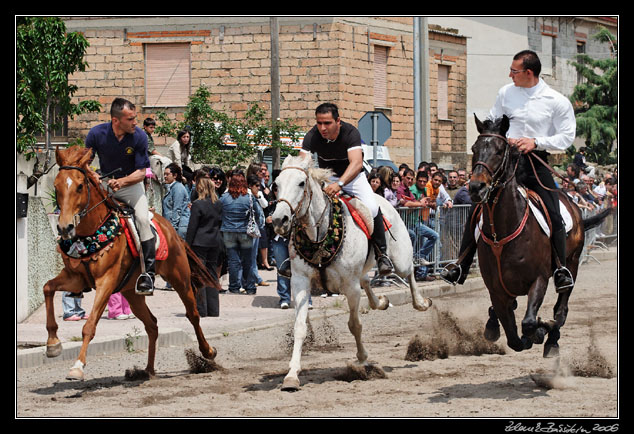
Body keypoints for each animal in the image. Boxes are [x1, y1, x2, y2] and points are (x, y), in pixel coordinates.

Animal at [43, 147, 217, 380]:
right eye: (56, 186)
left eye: (79, 186)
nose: (64, 227)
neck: (91, 233)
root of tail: (171, 230)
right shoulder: (76, 279)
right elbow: (48, 288)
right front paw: (53, 344)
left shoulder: (106, 281)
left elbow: (90, 325)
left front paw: (77, 366)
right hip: (132, 293)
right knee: (152, 325)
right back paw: (148, 370)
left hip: (180, 278)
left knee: (193, 315)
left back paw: (208, 352)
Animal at [270, 155, 432, 390]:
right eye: (276, 185)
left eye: (301, 183)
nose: (278, 220)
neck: (321, 235)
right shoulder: (300, 282)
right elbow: (300, 328)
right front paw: (292, 375)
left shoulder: (350, 286)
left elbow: (355, 325)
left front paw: (363, 360)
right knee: (367, 280)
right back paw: (380, 301)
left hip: (400, 258)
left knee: (409, 271)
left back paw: (420, 302)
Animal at [470, 114, 608, 356]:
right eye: (473, 149)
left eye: (499, 150)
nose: (476, 187)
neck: (501, 235)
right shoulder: (496, 291)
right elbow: (513, 337)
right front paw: (514, 332)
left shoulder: (539, 279)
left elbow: (529, 323)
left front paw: (541, 331)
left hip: (572, 263)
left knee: (561, 309)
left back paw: (552, 339)